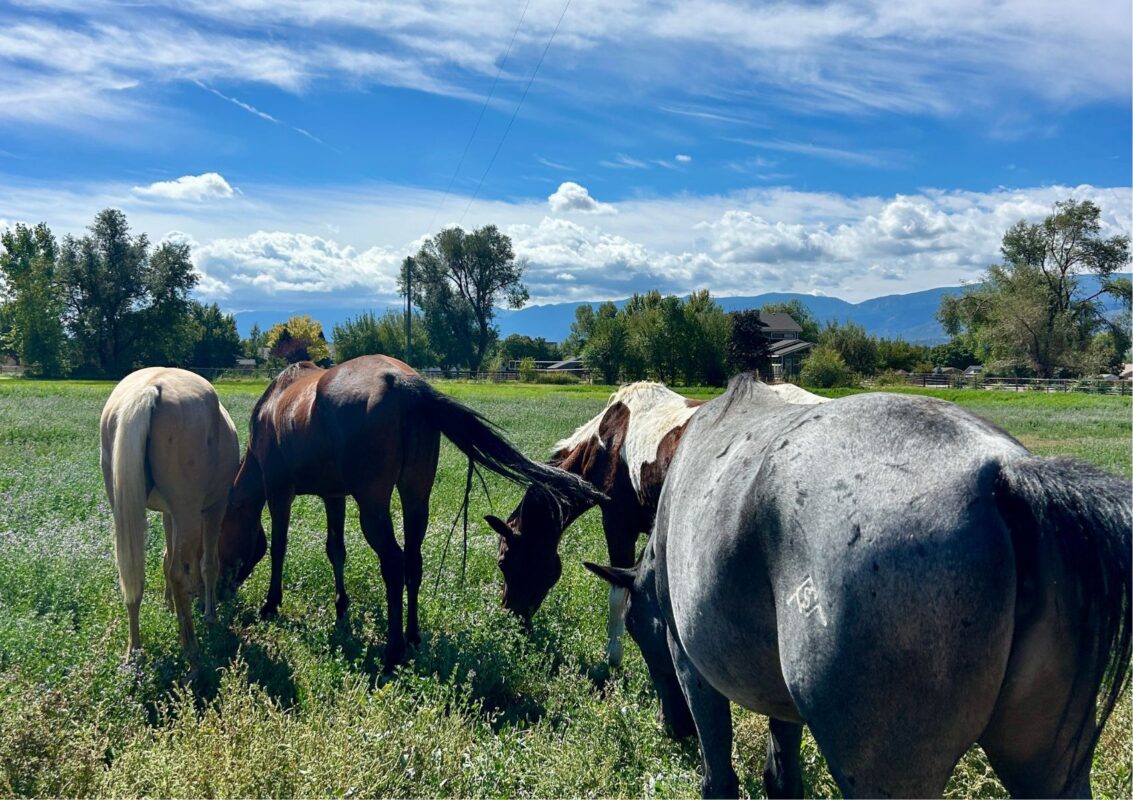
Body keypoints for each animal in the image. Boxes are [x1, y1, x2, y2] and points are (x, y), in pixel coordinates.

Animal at [100, 367, 240, 666]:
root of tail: (150, 388)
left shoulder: (169, 514)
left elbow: (166, 557)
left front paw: (171, 605)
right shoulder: (214, 507)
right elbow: (207, 563)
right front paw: (208, 613)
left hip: (130, 509)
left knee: (134, 573)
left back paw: (134, 650)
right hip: (190, 511)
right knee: (178, 572)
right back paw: (191, 648)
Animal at [217, 355, 605, 669]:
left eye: (218, 542)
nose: (222, 591)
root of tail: (405, 386)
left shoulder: (279, 491)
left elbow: (280, 547)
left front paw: (271, 604)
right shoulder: (334, 496)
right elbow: (335, 550)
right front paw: (342, 608)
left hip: (373, 503)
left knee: (394, 561)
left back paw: (393, 650)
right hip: (416, 495)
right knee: (413, 561)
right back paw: (414, 636)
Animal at [486, 381, 826, 675]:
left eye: (504, 561)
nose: (510, 620)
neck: (608, 440)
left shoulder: (617, 525)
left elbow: (618, 591)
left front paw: (613, 659)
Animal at [587, 375, 1130, 798]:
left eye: (637, 628)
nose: (673, 728)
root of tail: (1001, 472)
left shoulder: (692, 671)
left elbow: (719, 780)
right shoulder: (780, 701)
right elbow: (782, 777)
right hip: (1048, 770)